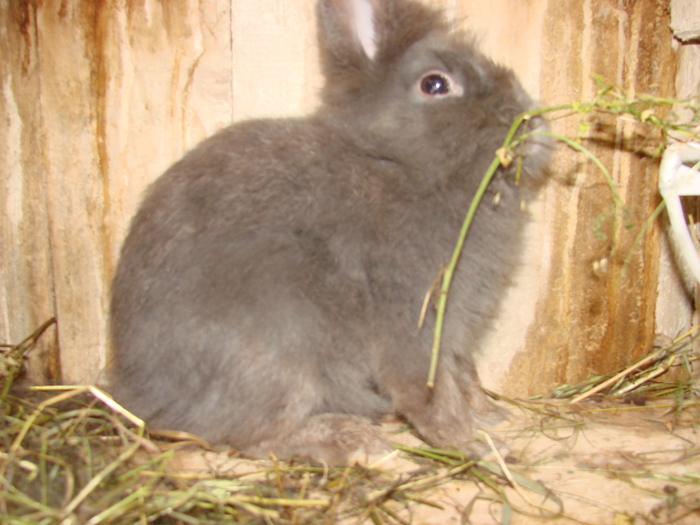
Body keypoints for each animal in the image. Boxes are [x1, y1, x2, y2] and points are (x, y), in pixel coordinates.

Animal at [109, 0, 552, 464]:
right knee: (254, 438)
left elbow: (464, 374)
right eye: (435, 84)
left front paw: (490, 415)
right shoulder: (410, 317)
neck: (395, 164)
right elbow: (429, 391)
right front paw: (474, 444)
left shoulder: (454, 332)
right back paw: (352, 439)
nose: (528, 119)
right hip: (279, 355)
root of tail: (140, 392)